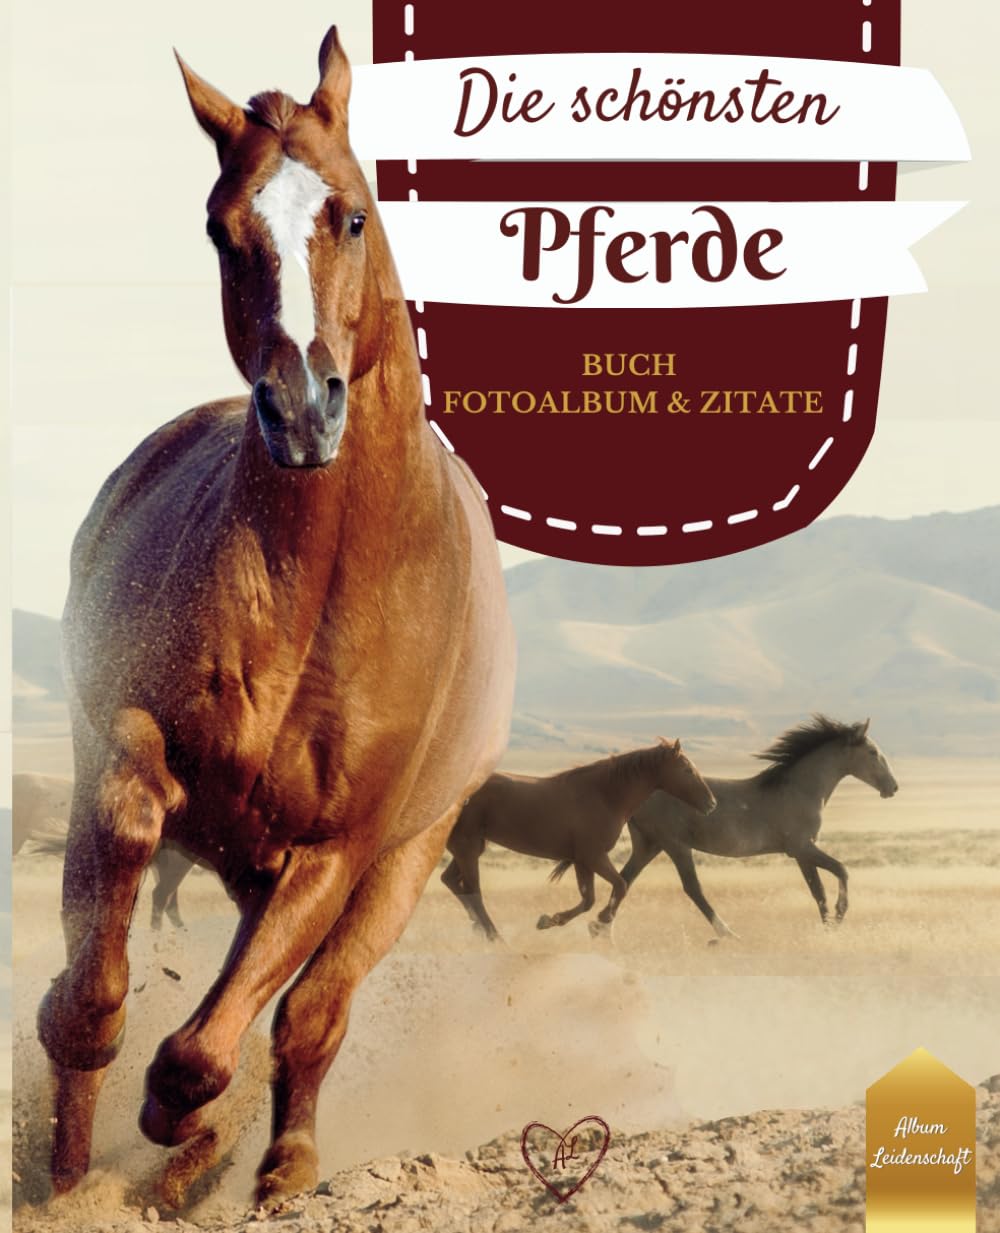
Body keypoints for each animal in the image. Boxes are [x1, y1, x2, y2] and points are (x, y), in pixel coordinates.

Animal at [36, 28, 515, 1210]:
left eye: (352, 214)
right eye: (221, 226)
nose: (302, 409)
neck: (322, 586)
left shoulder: (336, 851)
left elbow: (218, 1045)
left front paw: (183, 1124)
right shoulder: (127, 748)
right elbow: (102, 963)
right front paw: (101, 1126)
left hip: (399, 862)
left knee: (309, 1016)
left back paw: (278, 1162)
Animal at [441, 739, 716, 942]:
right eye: (687, 770)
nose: (711, 803)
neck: (603, 795)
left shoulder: (582, 861)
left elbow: (588, 900)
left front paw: (549, 921)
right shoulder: (593, 856)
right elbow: (620, 886)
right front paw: (602, 921)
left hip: (471, 848)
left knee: (452, 882)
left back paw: (480, 931)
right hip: (467, 848)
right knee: (472, 891)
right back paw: (494, 936)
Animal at [617, 716, 898, 937]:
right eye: (873, 753)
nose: (893, 787)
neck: (801, 790)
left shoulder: (802, 854)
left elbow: (818, 892)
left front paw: (828, 928)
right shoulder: (802, 848)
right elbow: (842, 870)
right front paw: (839, 918)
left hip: (649, 845)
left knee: (624, 880)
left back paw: (605, 931)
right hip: (676, 845)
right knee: (692, 888)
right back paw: (727, 934)